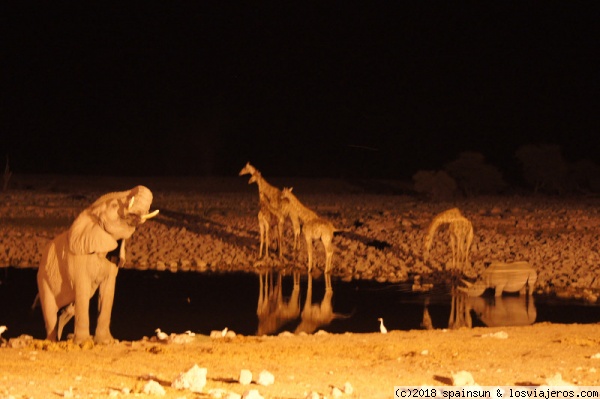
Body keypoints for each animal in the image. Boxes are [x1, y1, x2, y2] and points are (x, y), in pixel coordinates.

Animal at [36, 186, 159, 346]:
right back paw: (52, 342)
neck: (91, 212)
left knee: (71, 308)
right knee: (51, 312)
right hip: (43, 279)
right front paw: (83, 343)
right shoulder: (77, 259)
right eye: (114, 205)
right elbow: (81, 288)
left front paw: (106, 342)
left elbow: (107, 290)